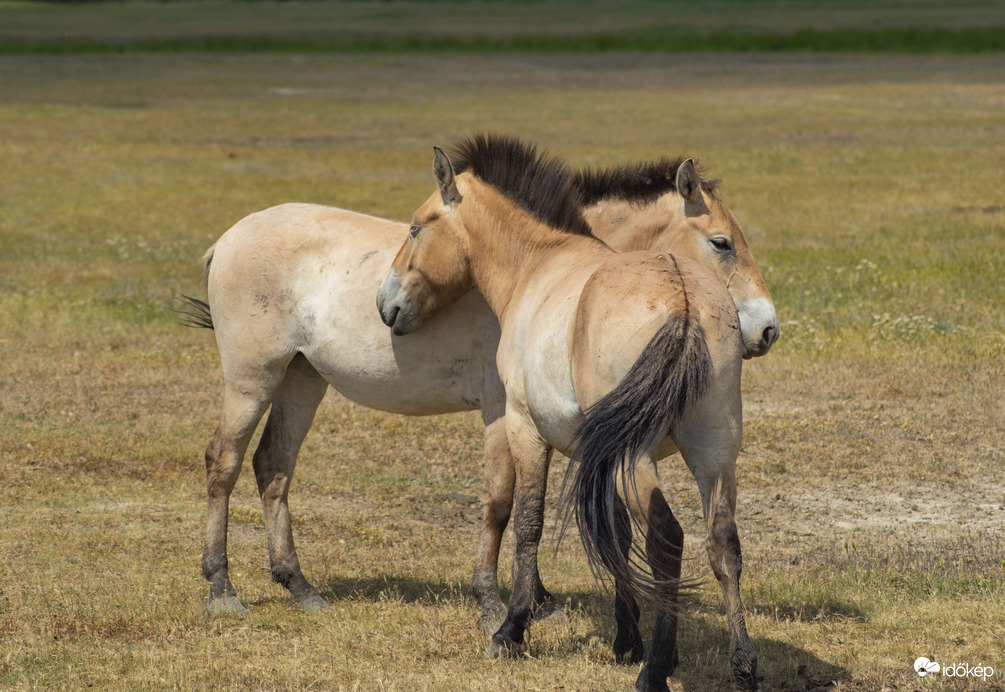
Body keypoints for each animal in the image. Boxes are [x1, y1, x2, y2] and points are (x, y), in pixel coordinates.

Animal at [186, 140, 775, 642]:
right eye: (722, 243)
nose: (768, 329)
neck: (538, 271)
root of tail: (230, 237)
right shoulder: (502, 411)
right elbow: (502, 504)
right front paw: (496, 604)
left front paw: (537, 601)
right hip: (252, 379)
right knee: (225, 462)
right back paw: (221, 588)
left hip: (301, 379)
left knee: (273, 466)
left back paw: (298, 586)